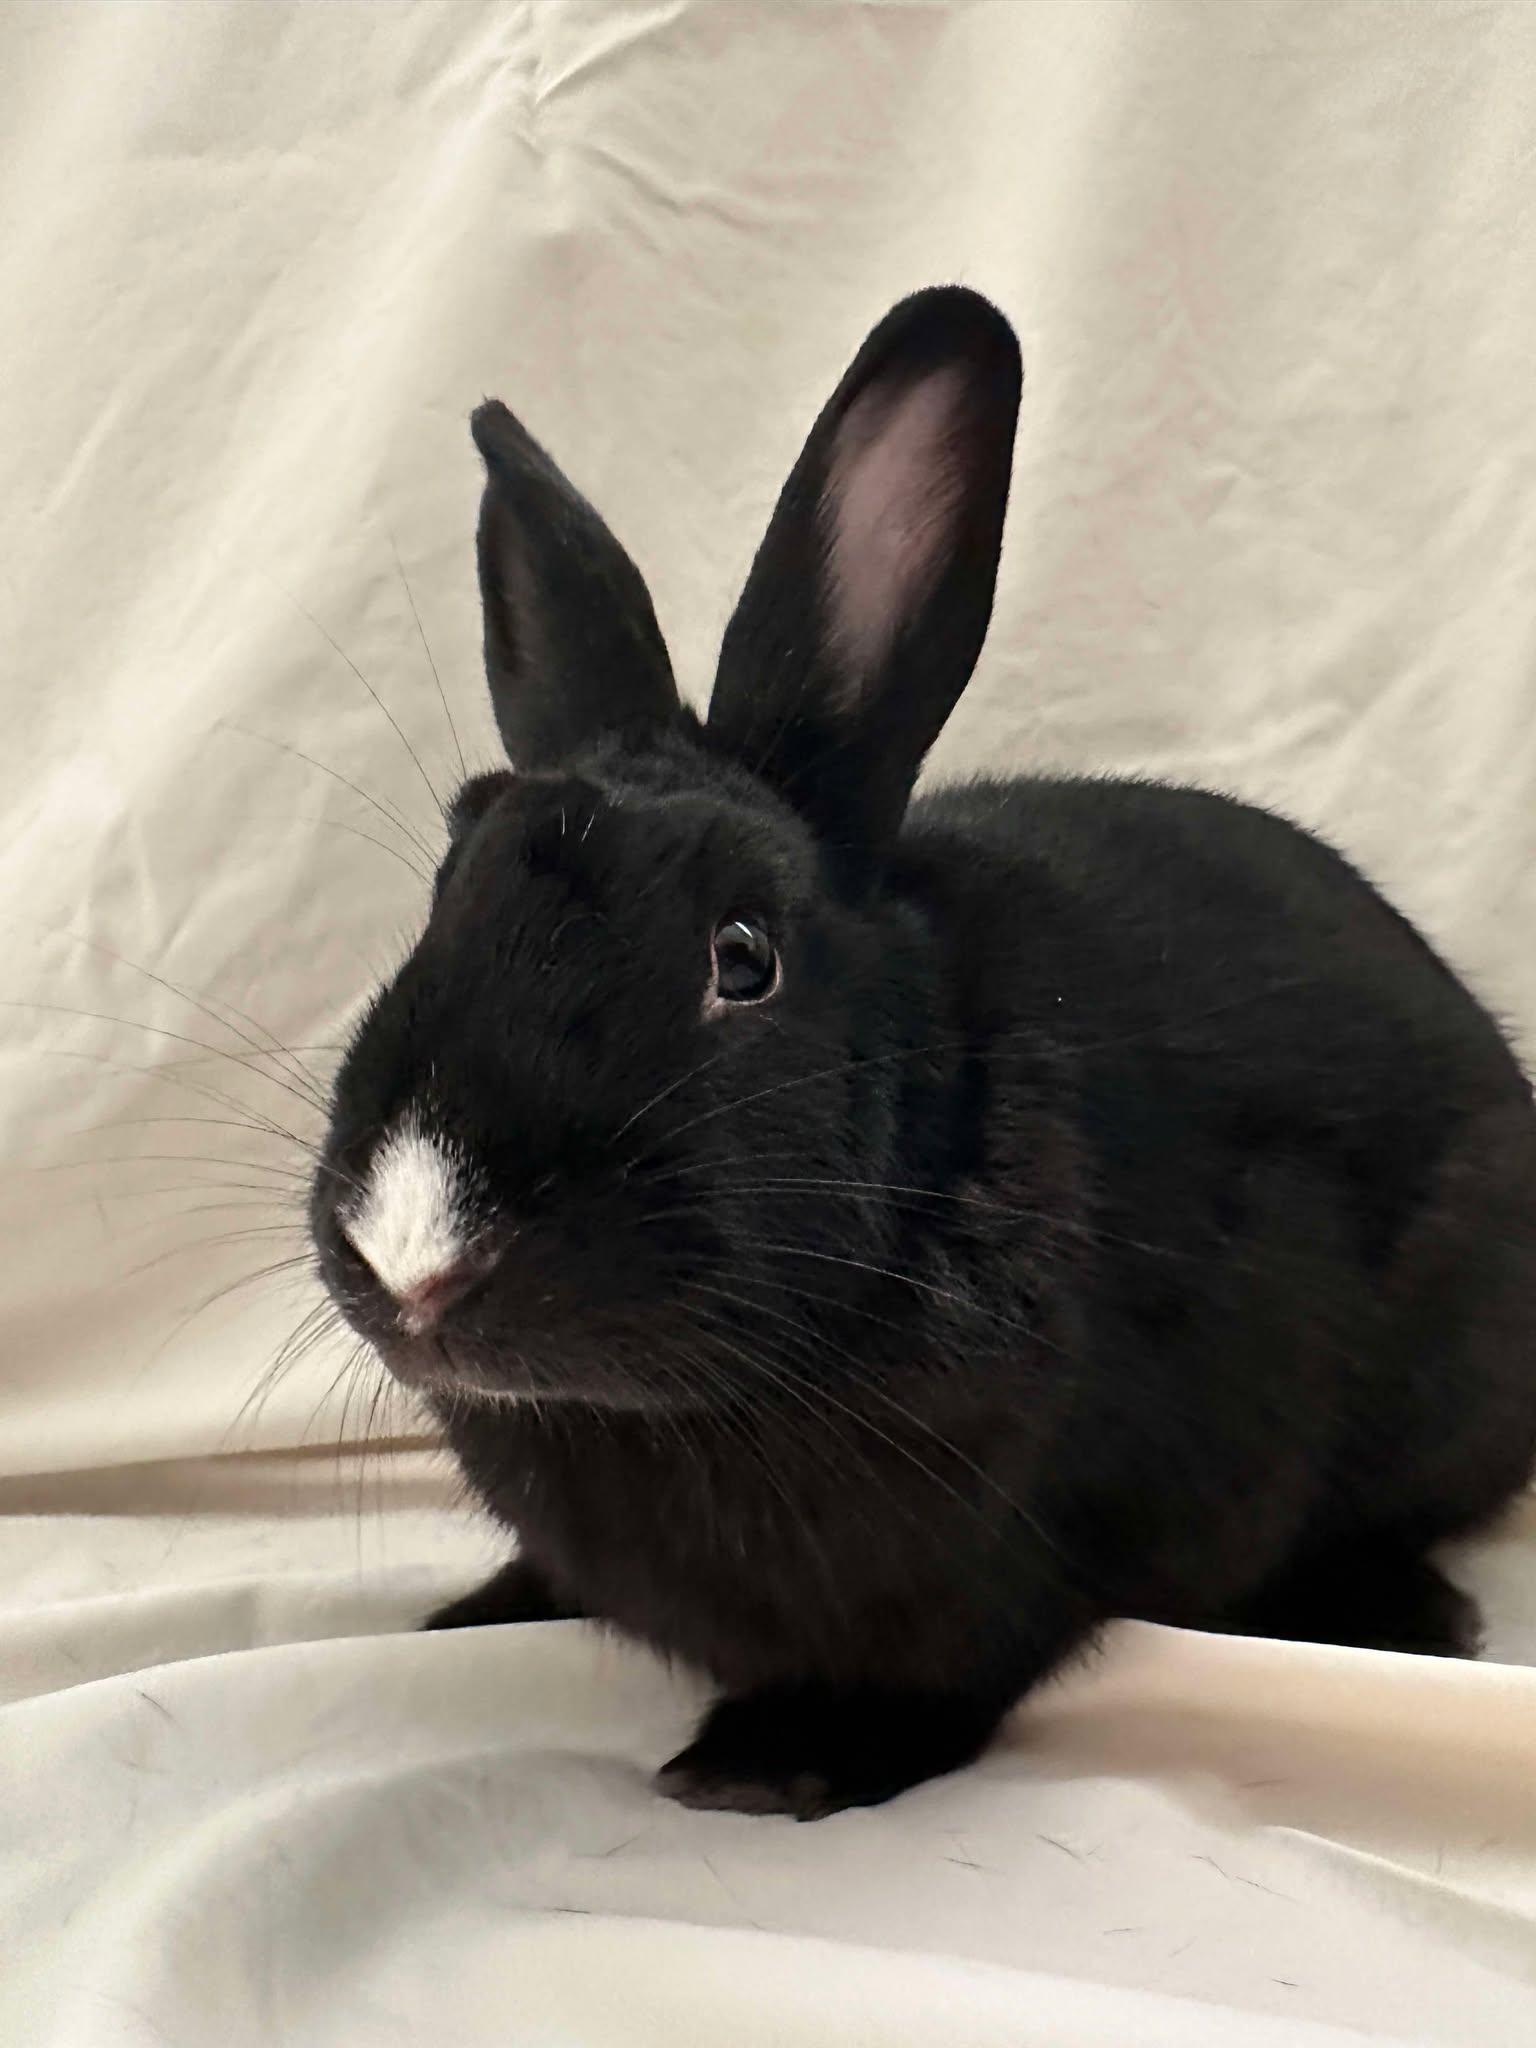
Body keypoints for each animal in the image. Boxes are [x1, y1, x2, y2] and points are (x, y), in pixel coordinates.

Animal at [311, 287, 1536, 1820]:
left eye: (744, 959)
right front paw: (479, 1611)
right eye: (446, 884)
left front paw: (766, 1764)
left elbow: (949, 1667)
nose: (417, 1252)